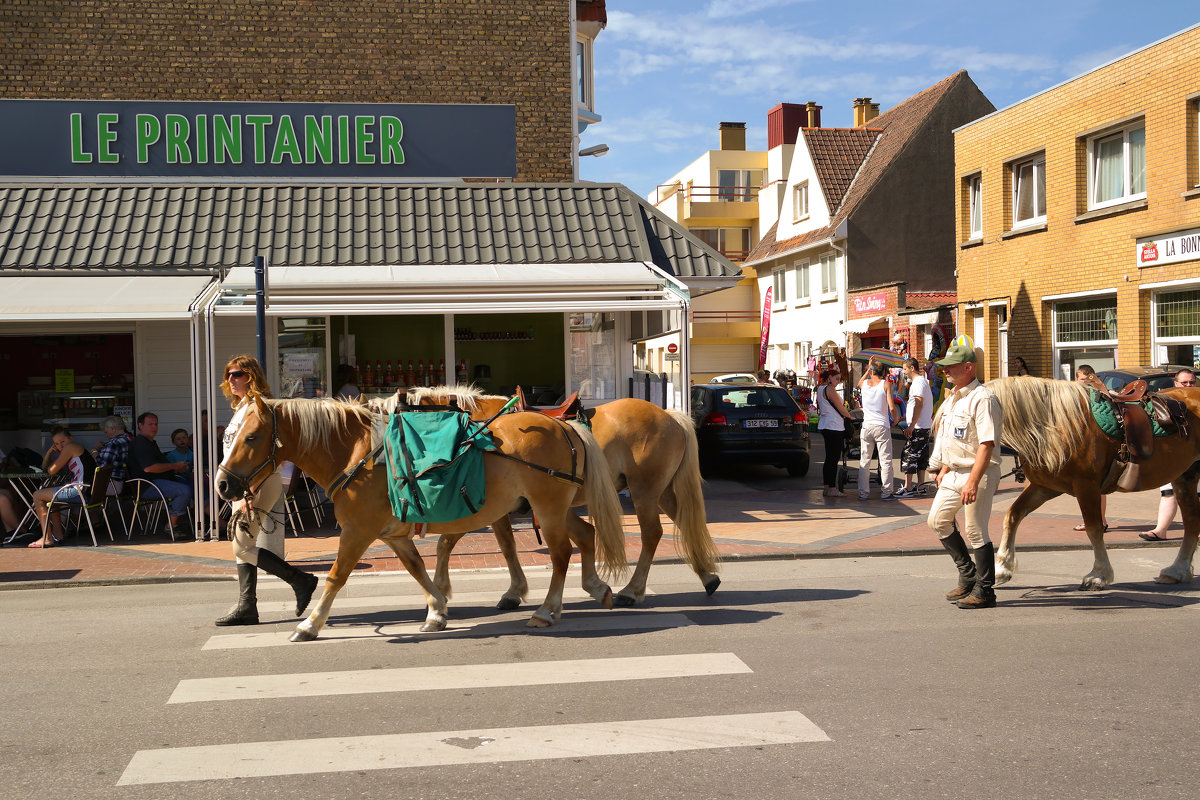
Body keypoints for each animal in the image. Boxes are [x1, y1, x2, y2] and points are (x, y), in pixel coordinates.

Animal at [217, 395, 628, 642]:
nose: (222, 484)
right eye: (233, 435)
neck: (356, 454)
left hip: (547, 508)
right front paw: (436, 611)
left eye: (251, 437)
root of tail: (563, 425)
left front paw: (310, 623)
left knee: (560, 554)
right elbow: (418, 569)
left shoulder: (357, 532)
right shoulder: (392, 535)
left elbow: (336, 577)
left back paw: (545, 609)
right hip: (556, 509)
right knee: (584, 536)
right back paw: (592, 590)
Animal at [403, 386, 720, 606]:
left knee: (652, 534)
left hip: (644, 491)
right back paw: (708, 576)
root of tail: (669, 416)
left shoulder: (486, 506)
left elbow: (455, 543)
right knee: (685, 523)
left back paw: (632, 590)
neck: (484, 430)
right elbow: (501, 545)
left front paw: (444, 589)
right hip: (661, 491)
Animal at [984, 379, 1200, 592]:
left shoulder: (1086, 486)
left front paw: (1098, 575)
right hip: (1184, 477)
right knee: (1191, 521)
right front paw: (1002, 568)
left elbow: (1094, 529)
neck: (1055, 425)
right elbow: (1013, 515)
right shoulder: (1045, 487)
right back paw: (1177, 571)